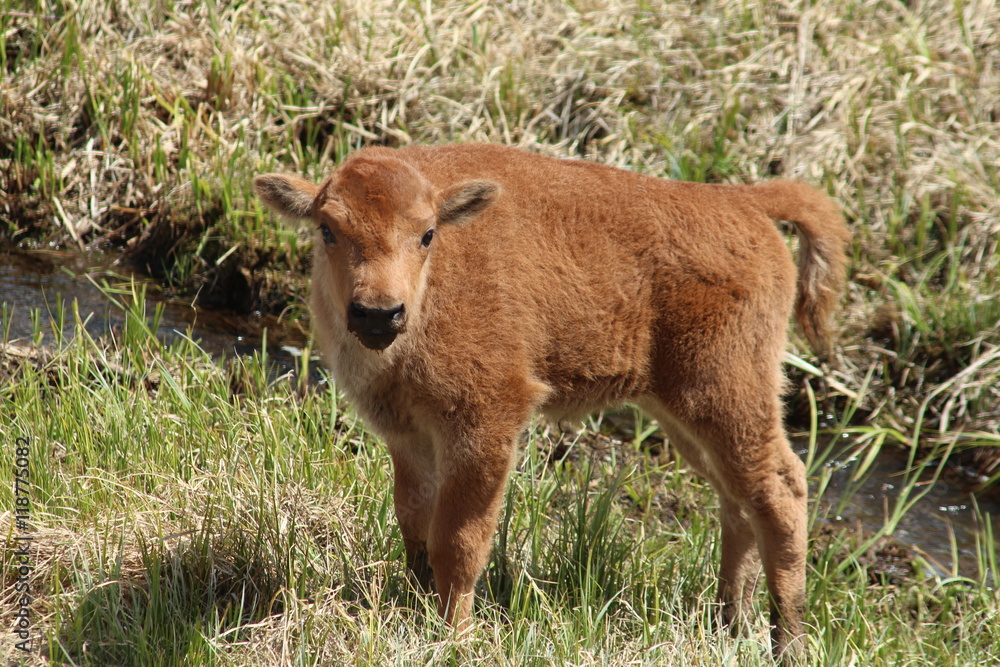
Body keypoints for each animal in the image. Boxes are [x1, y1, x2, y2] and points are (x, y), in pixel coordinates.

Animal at [254, 143, 849, 660]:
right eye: (327, 229)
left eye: (426, 235)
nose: (378, 313)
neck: (434, 287)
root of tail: (744, 202)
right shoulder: (408, 436)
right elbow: (415, 526)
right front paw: (417, 610)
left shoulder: (485, 427)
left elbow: (458, 542)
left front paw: (455, 638)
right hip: (683, 415)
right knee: (737, 500)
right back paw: (731, 622)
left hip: (726, 394)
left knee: (779, 490)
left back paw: (788, 642)